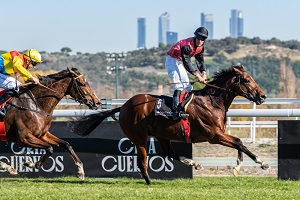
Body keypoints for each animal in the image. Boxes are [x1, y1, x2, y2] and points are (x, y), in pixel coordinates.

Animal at [68, 65, 270, 184]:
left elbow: (238, 143)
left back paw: (195, 164)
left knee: (169, 153)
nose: (262, 96)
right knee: (142, 162)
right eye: (246, 80)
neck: (212, 101)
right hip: (140, 138)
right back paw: (149, 182)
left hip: (161, 135)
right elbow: (239, 142)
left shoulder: (219, 134)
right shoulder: (213, 135)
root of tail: (124, 106)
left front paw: (238, 166)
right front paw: (262, 163)